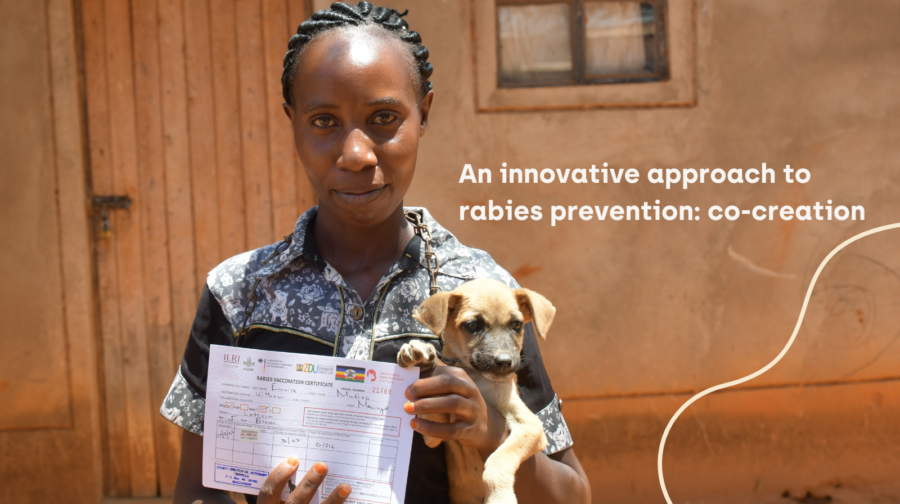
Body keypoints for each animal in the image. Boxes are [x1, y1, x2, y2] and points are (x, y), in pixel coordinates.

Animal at [400, 278, 556, 504]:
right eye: (472, 325)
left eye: (517, 325)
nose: (504, 362)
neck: (477, 378)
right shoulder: (433, 435)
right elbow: (433, 412)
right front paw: (422, 356)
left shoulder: (531, 425)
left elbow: (499, 458)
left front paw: (500, 497)